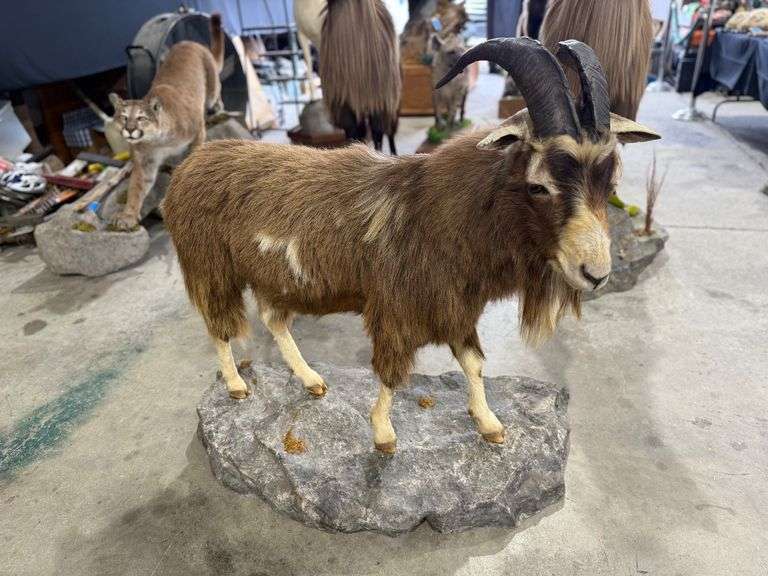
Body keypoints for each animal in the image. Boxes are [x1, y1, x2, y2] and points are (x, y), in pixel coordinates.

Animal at [164, 38, 659, 453]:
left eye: (609, 183)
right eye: (539, 186)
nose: (596, 273)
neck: (436, 210)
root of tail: (190, 165)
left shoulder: (457, 308)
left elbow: (473, 364)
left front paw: (490, 424)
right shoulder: (397, 311)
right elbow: (390, 373)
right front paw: (384, 435)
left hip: (276, 279)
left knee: (272, 320)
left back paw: (311, 381)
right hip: (210, 268)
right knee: (219, 327)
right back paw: (236, 386)